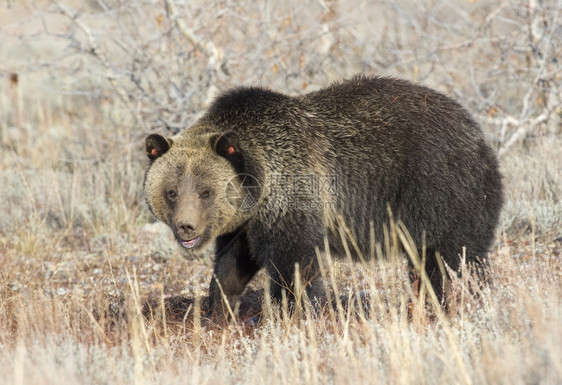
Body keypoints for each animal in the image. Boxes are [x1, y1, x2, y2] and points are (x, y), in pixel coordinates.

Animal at [142, 74, 500, 318]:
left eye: (206, 191)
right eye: (172, 191)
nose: (186, 227)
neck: (261, 184)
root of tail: (478, 134)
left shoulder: (293, 199)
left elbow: (295, 266)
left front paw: (297, 313)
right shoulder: (246, 223)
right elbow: (232, 265)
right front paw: (219, 310)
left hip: (440, 190)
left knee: (451, 258)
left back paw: (455, 301)